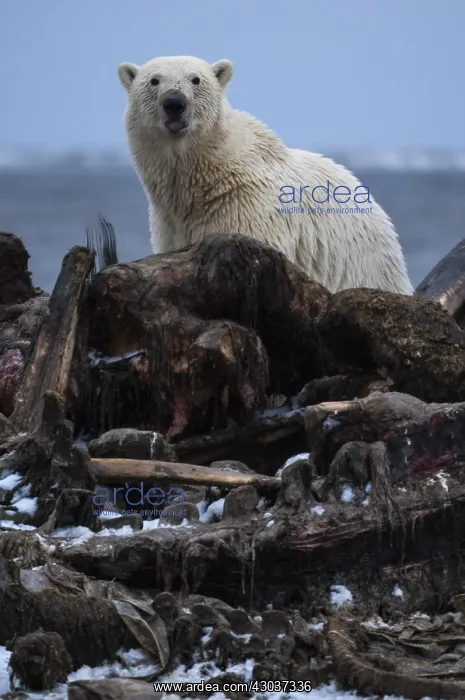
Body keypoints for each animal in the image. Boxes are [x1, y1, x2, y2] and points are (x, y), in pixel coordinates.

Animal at [118, 55, 413, 295]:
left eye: (196, 79)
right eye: (154, 80)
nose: (174, 103)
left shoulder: (246, 210)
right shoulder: (169, 224)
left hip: (365, 267)